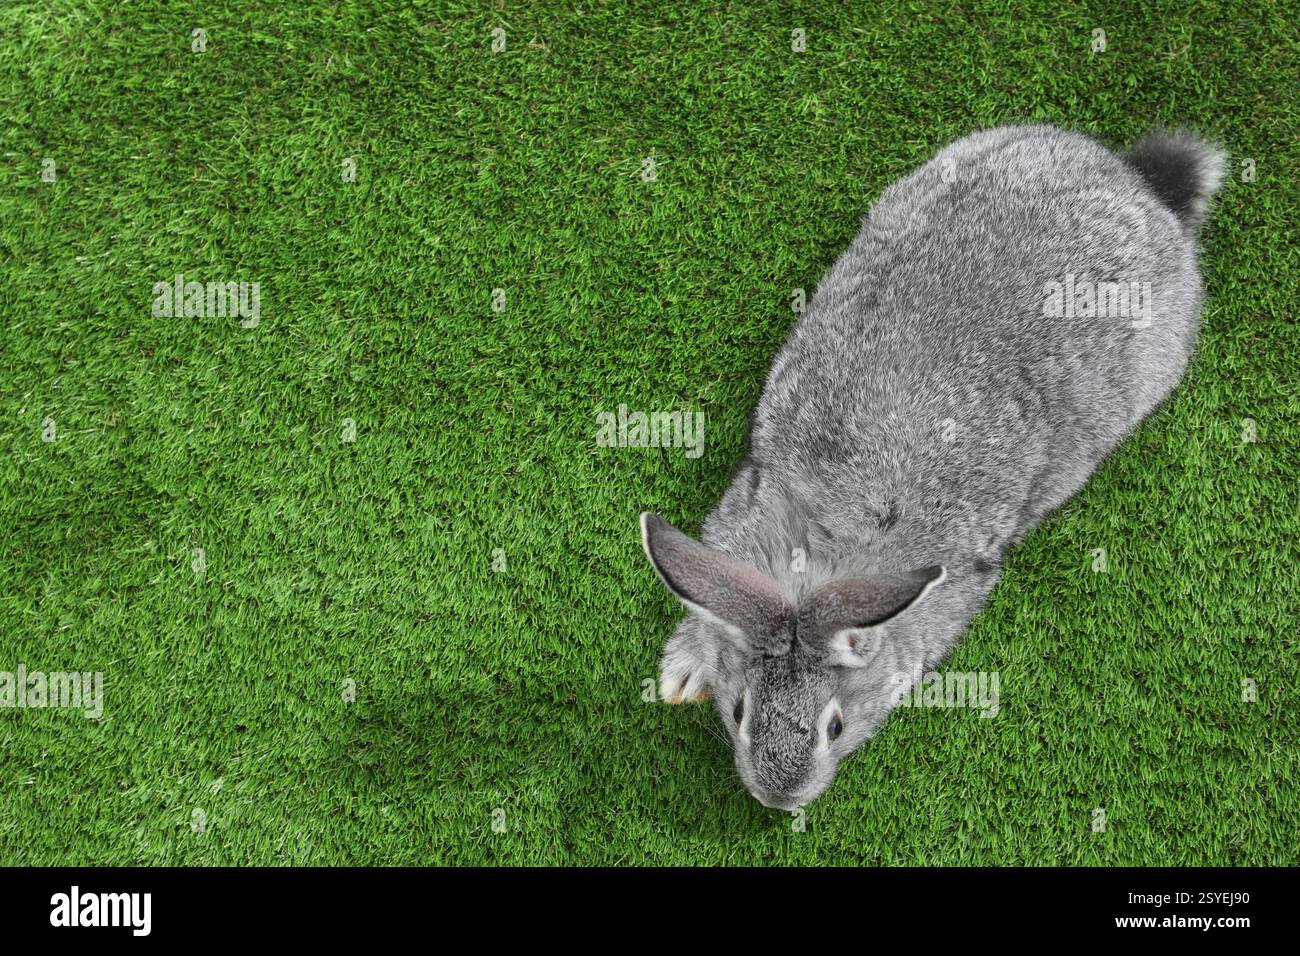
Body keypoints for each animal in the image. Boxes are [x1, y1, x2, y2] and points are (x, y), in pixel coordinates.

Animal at [640, 125, 1224, 810]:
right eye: (738, 714)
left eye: (835, 727)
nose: (781, 801)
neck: (830, 541)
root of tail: (1140, 186)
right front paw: (684, 669)